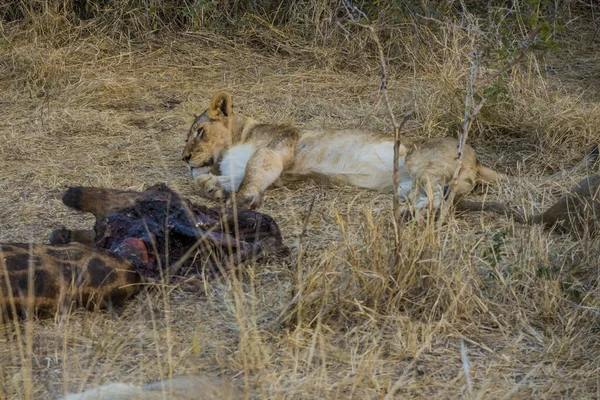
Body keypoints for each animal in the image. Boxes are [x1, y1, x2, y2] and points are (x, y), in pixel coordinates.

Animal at [182, 91, 502, 209]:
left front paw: (238, 203)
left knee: (439, 199)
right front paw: (212, 187)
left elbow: (251, 177)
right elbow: (224, 179)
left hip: (419, 162)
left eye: (199, 131)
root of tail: (476, 157)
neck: (237, 138)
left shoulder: (275, 148)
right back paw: (408, 214)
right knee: (428, 197)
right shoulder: (253, 170)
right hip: (407, 185)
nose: (184, 158)